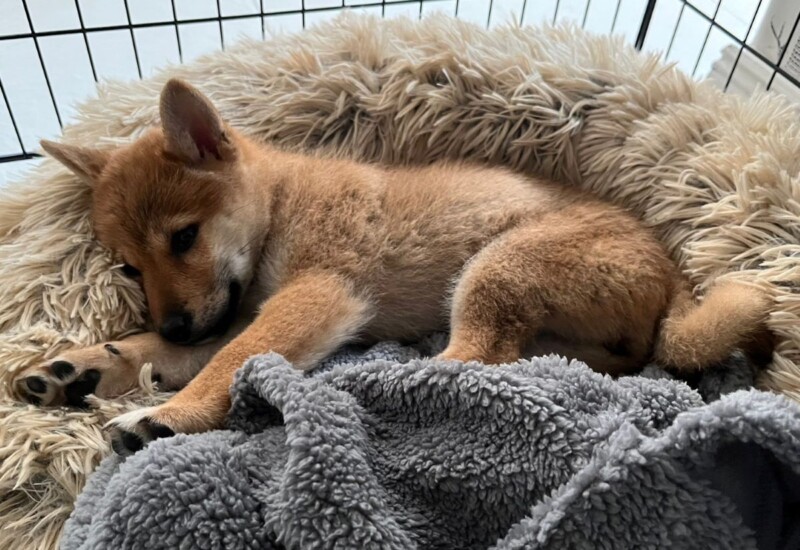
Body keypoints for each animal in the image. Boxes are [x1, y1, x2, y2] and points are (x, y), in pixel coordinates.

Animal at [15, 78, 772, 458]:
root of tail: (671, 275)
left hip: (495, 268)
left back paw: (366, 379)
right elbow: (179, 351)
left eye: (183, 238)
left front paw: (169, 414)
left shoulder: (317, 296)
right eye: (127, 267)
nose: (173, 323)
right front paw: (87, 366)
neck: (282, 203)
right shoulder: (234, 312)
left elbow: (228, 361)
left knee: (478, 359)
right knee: (541, 360)